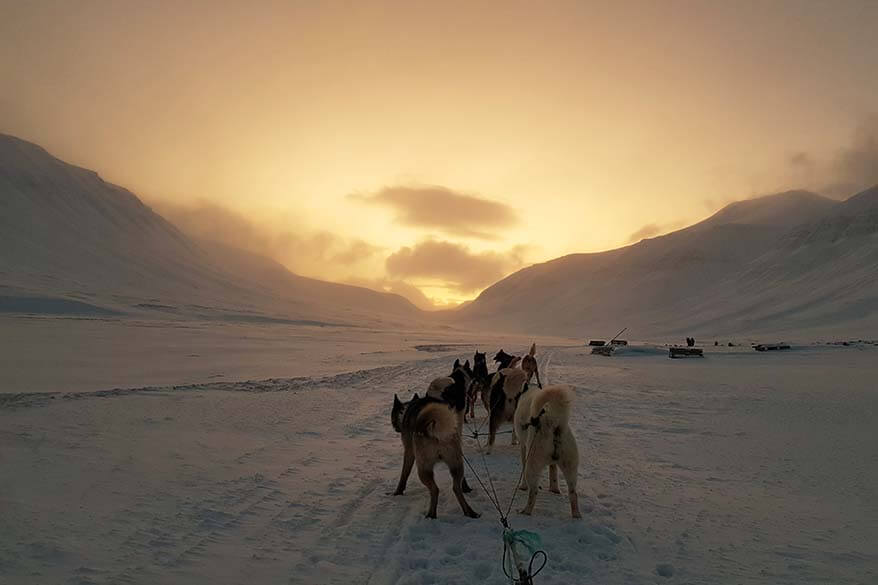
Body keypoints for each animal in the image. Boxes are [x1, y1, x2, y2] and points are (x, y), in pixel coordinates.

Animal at [512, 386, 580, 516]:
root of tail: (554, 422)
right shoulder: (554, 463)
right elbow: (553, 472)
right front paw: (554, 489)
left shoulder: (524, 447)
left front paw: (523, 486)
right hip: (570, 468)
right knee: (573, 493)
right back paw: (576, 515)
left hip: (532, 465)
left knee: (533, 492)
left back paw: (526, 511)